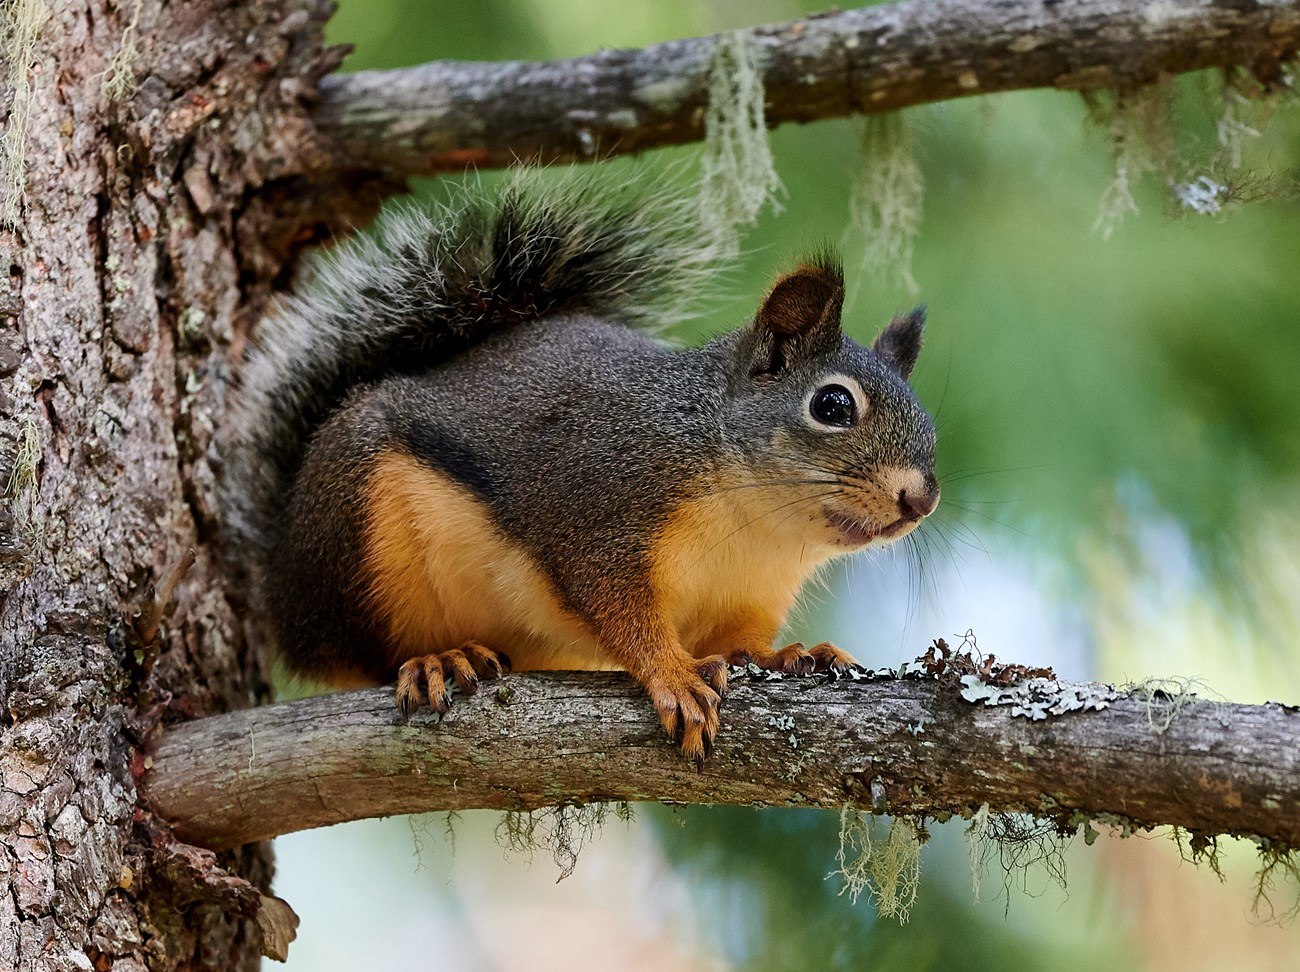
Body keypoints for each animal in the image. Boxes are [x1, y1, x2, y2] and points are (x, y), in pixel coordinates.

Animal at [220, 172, 935, 769]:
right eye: (832, 405)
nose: (921, 500)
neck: (757, 523)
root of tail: (281, 578)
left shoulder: (750, 592)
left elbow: (742, 643)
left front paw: (791, 654)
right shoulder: (596, 508)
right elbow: (619, 609)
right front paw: (673, 675)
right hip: (360, 536)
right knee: (362, 654)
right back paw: (437, 659)